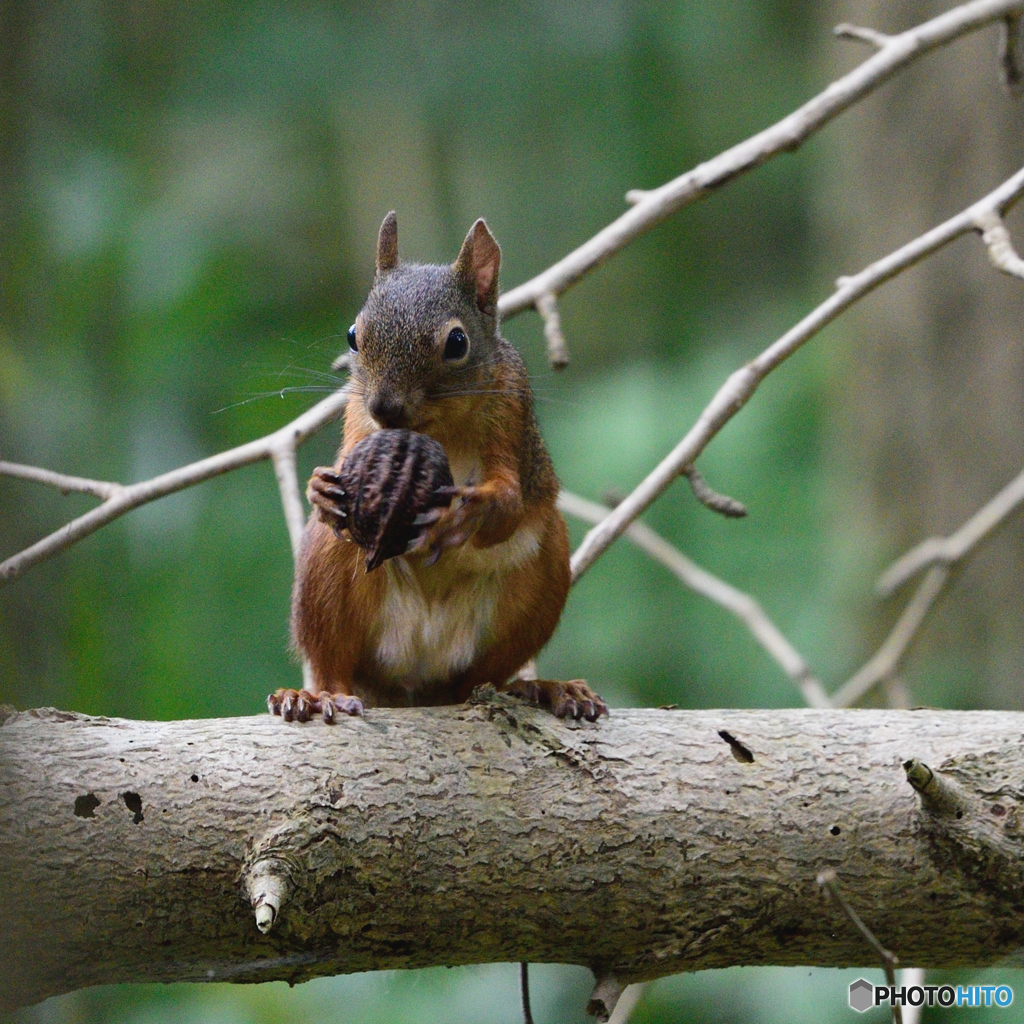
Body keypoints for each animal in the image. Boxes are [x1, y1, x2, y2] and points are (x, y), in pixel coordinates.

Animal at [270, 211, 606, 724]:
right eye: (353, 335)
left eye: (457, 342)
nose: (385, 407)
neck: (436, 429)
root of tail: (414, 681)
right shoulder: (357, 417)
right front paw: (318, 489)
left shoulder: (511, 410)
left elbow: (509, 502)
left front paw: (463, 513)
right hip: (326, 574)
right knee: (333, 661)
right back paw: (317, 695)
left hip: (540, 582)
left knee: (482, 679)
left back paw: (541, 688)